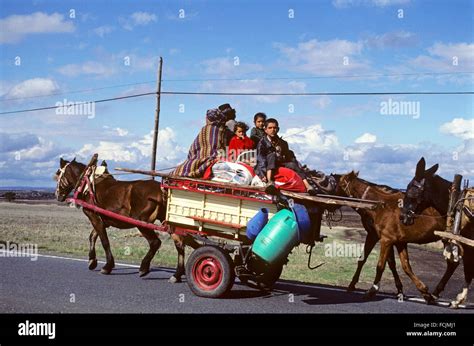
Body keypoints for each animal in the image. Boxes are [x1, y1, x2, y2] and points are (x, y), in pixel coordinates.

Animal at [55, 157, 198, 282]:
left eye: (58, 175)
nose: (58, 195)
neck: (88, 184)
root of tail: (161, 189)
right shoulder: (103, 221)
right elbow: (93, 237)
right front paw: (92, 261)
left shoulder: (94, 217)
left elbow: (104, 241)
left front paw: (107, 266)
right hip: (169, 220)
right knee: (179, 243)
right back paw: (177, 274)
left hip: (142, 222)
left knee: (155, 242)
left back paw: (144, 268)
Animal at [338, 172, 446, 302]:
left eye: (337, 183)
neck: (380, 206)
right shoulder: (386, 239)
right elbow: (398, 265)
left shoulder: (385, 239)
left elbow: (381, 265)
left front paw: (373, 290)